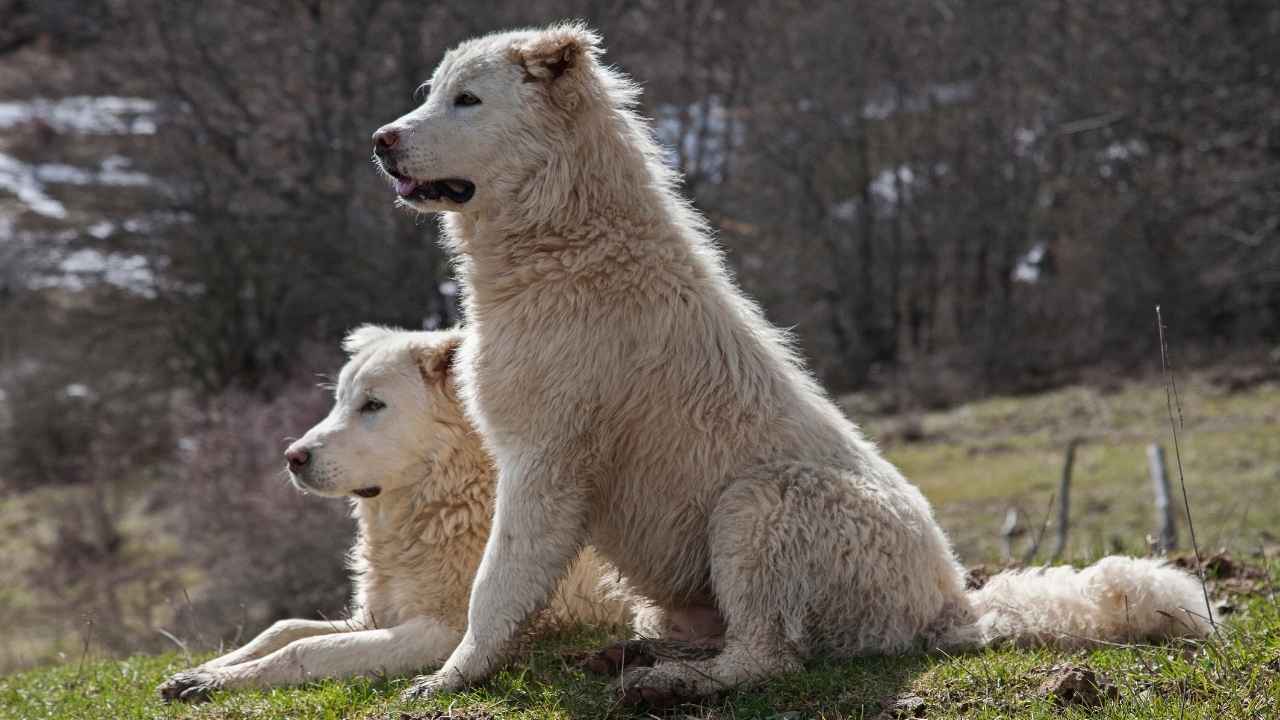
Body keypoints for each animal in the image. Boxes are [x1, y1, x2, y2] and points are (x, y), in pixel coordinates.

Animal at [157, 326, 627, 702]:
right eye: (339, 401)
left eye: (373, 405)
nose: (292, 457)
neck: (440, 506)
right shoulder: (374, 616)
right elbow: (283, 628)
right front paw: (205, 671)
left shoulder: (442, 631)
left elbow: (304, 648)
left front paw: (215, 681)